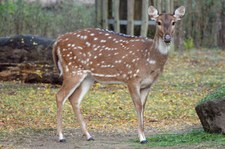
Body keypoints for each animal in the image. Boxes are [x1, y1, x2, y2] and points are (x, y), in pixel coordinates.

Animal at [52, 5, 185, 143]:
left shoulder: (148, 84)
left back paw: (88, 135)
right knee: (60, 96)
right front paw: (142, 138)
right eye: (158, 22)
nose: (167, 38)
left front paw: (144, 136)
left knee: (74, 99)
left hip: (88, 77)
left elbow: (143, 106)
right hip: (72, 70)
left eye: (174, 22)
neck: (150, 59)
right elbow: (138, 105)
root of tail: (57, 41)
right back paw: (61, 136)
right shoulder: (132, 78)